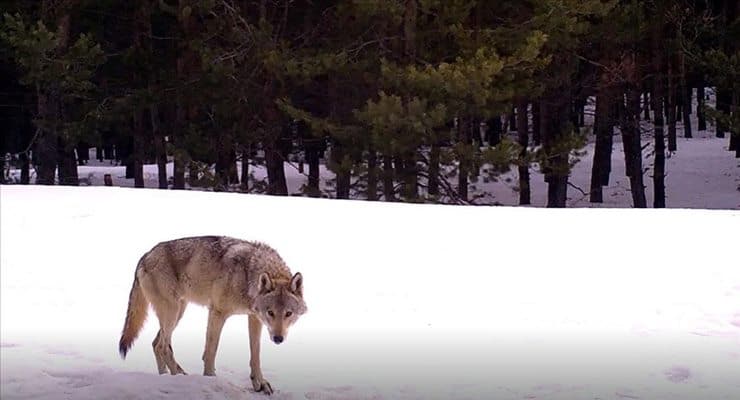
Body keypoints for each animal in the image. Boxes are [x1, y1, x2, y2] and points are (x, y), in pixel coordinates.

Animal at [118, 236, 306, 396]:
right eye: (271, 312)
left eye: (288, 313)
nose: (278, 339)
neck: (247, 274)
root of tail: (145, 255)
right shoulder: (217, 312)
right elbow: (211, 350)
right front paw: (209, 378)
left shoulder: (254, 318)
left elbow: (255, 354)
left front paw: (260, 383)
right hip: (172, 312)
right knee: (163, 346)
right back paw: (179, 376)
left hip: (178, 312)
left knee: (156, 343)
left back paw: (166, 377)